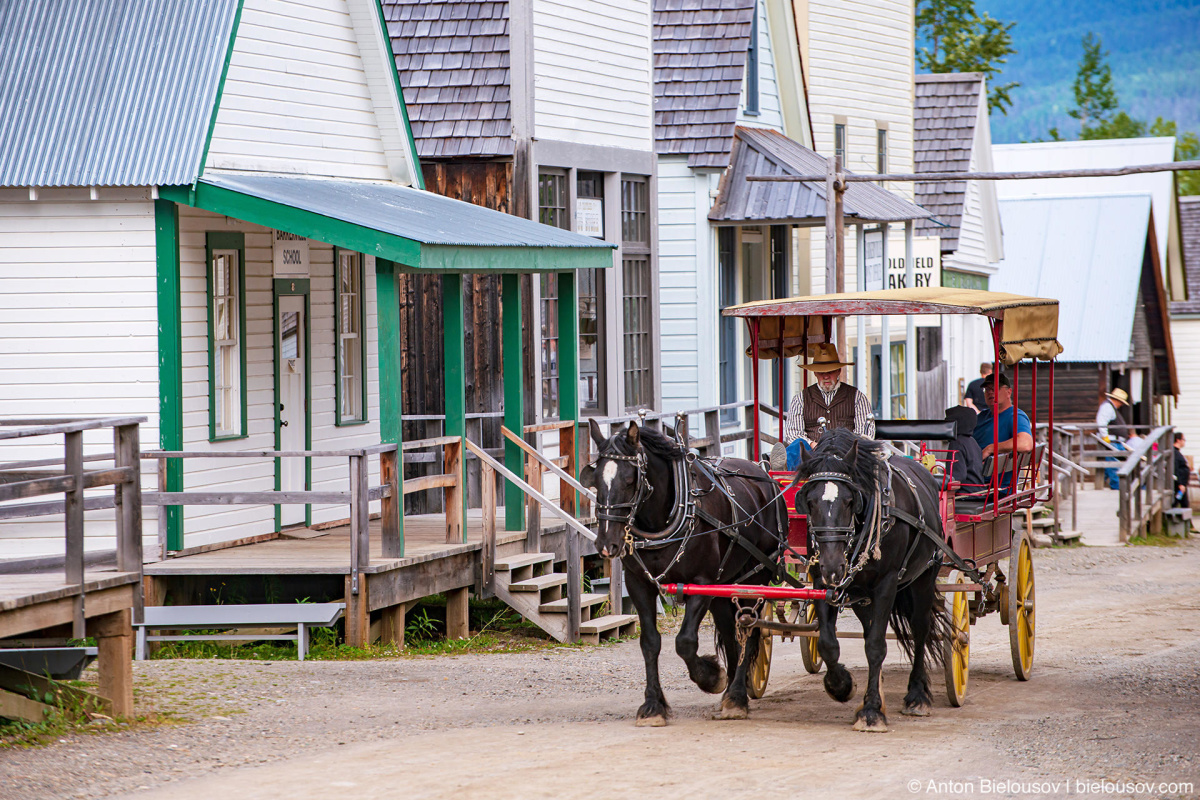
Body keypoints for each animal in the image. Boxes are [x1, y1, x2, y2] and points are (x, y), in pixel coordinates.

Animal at [583, 419, 787, 724]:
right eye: (596, 481)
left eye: (630, 481)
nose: (606, 543)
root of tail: (765, 475)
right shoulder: (638, 583)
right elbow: (650, 642)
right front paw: (653, 705)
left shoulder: (701, 583)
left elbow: (685, 642)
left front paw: (711, 677)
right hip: (725, 586)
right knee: (731, 634)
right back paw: (731, 691)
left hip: (755, 577)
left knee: (748, 632)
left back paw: (737, 697)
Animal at [792, 431, 950, 734]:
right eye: (810, 501)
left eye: (849, 500)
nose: (834, 565)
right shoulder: (822, 582)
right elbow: (828, 643)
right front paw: (842, 685)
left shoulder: (886, 583)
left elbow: (876, 646)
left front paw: (872, 711)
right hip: (862, 595)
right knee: (868, 630)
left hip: (924, 576)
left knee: (920, 630)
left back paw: (917, 695)